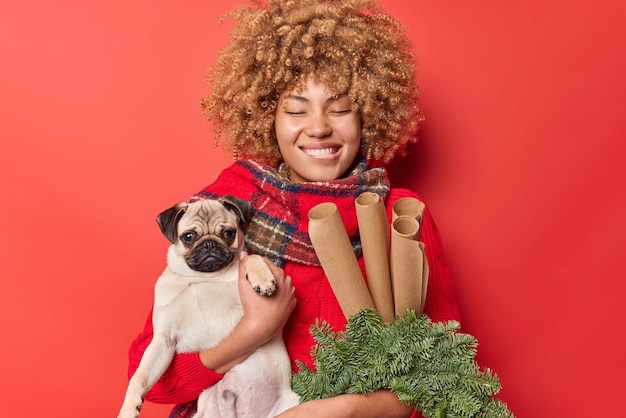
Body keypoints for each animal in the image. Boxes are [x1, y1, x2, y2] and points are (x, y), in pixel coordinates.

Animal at [120, 197, 302, 418]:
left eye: (228, 233)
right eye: (188, 237)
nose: (209, 244)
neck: (202, 277)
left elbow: (251, 257)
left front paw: (263, 279)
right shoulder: (163, 340)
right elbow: (139, 376)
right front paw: (129, 407)